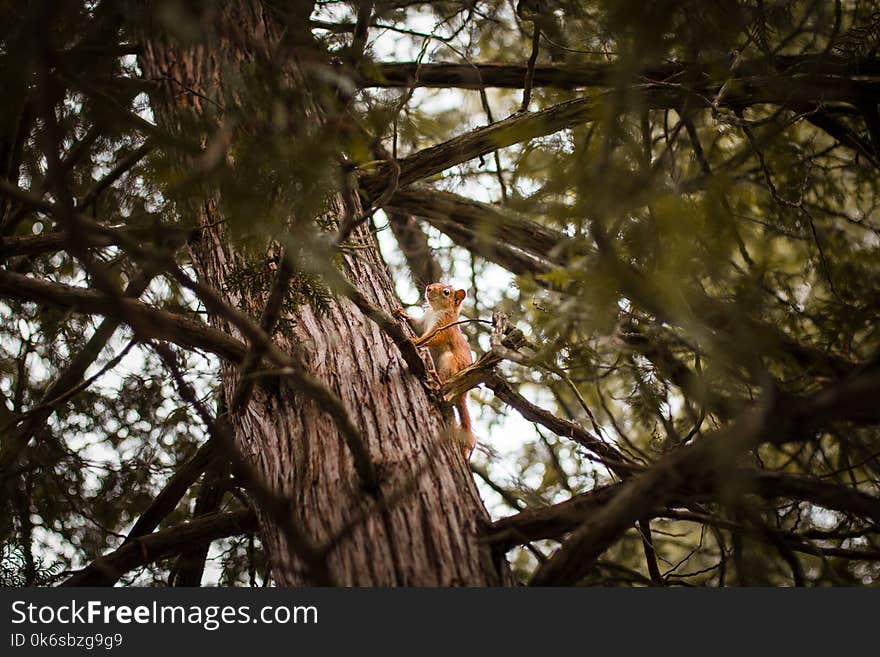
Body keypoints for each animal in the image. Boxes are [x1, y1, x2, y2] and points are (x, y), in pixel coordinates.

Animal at [402, 284, 478, 462]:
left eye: (446, 292)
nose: (429, 288)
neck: (436, 310)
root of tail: (462, 395)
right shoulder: (423, 322)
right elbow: (415, 324)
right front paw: (402, 312)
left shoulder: (443, 327)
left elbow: (433, 338)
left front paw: (415, 341)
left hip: (448, 362)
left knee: (444, 382)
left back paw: (438, 380)